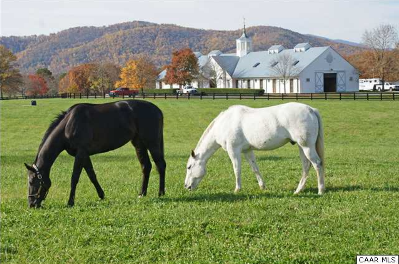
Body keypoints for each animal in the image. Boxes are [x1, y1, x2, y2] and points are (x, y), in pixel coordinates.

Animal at [24, 100, 166, 207]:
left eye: (32, 181)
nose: (31, 204)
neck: (68, 124)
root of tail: (157, 110)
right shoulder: (84, 154)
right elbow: (92, 175)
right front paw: (101, 195)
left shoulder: (81, 153)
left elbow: (74, 178)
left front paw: (70, 202)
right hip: (139, 143)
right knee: (146, 166)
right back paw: (142, 193)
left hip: (152, 143)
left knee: (160, 165)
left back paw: (161, 193)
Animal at [186, 102, 326, 195]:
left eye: (189, 167)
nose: (187, 186)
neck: (224, 123)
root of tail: (311, 109)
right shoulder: (247, 151)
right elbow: (255, 168)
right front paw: (262, 186)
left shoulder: (234, 151)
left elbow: (237, 170)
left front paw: (237, 189)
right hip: (301, 147)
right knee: (306, 166)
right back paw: (298, 190)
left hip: (306, 147)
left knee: (317, 164)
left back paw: (320, 190)